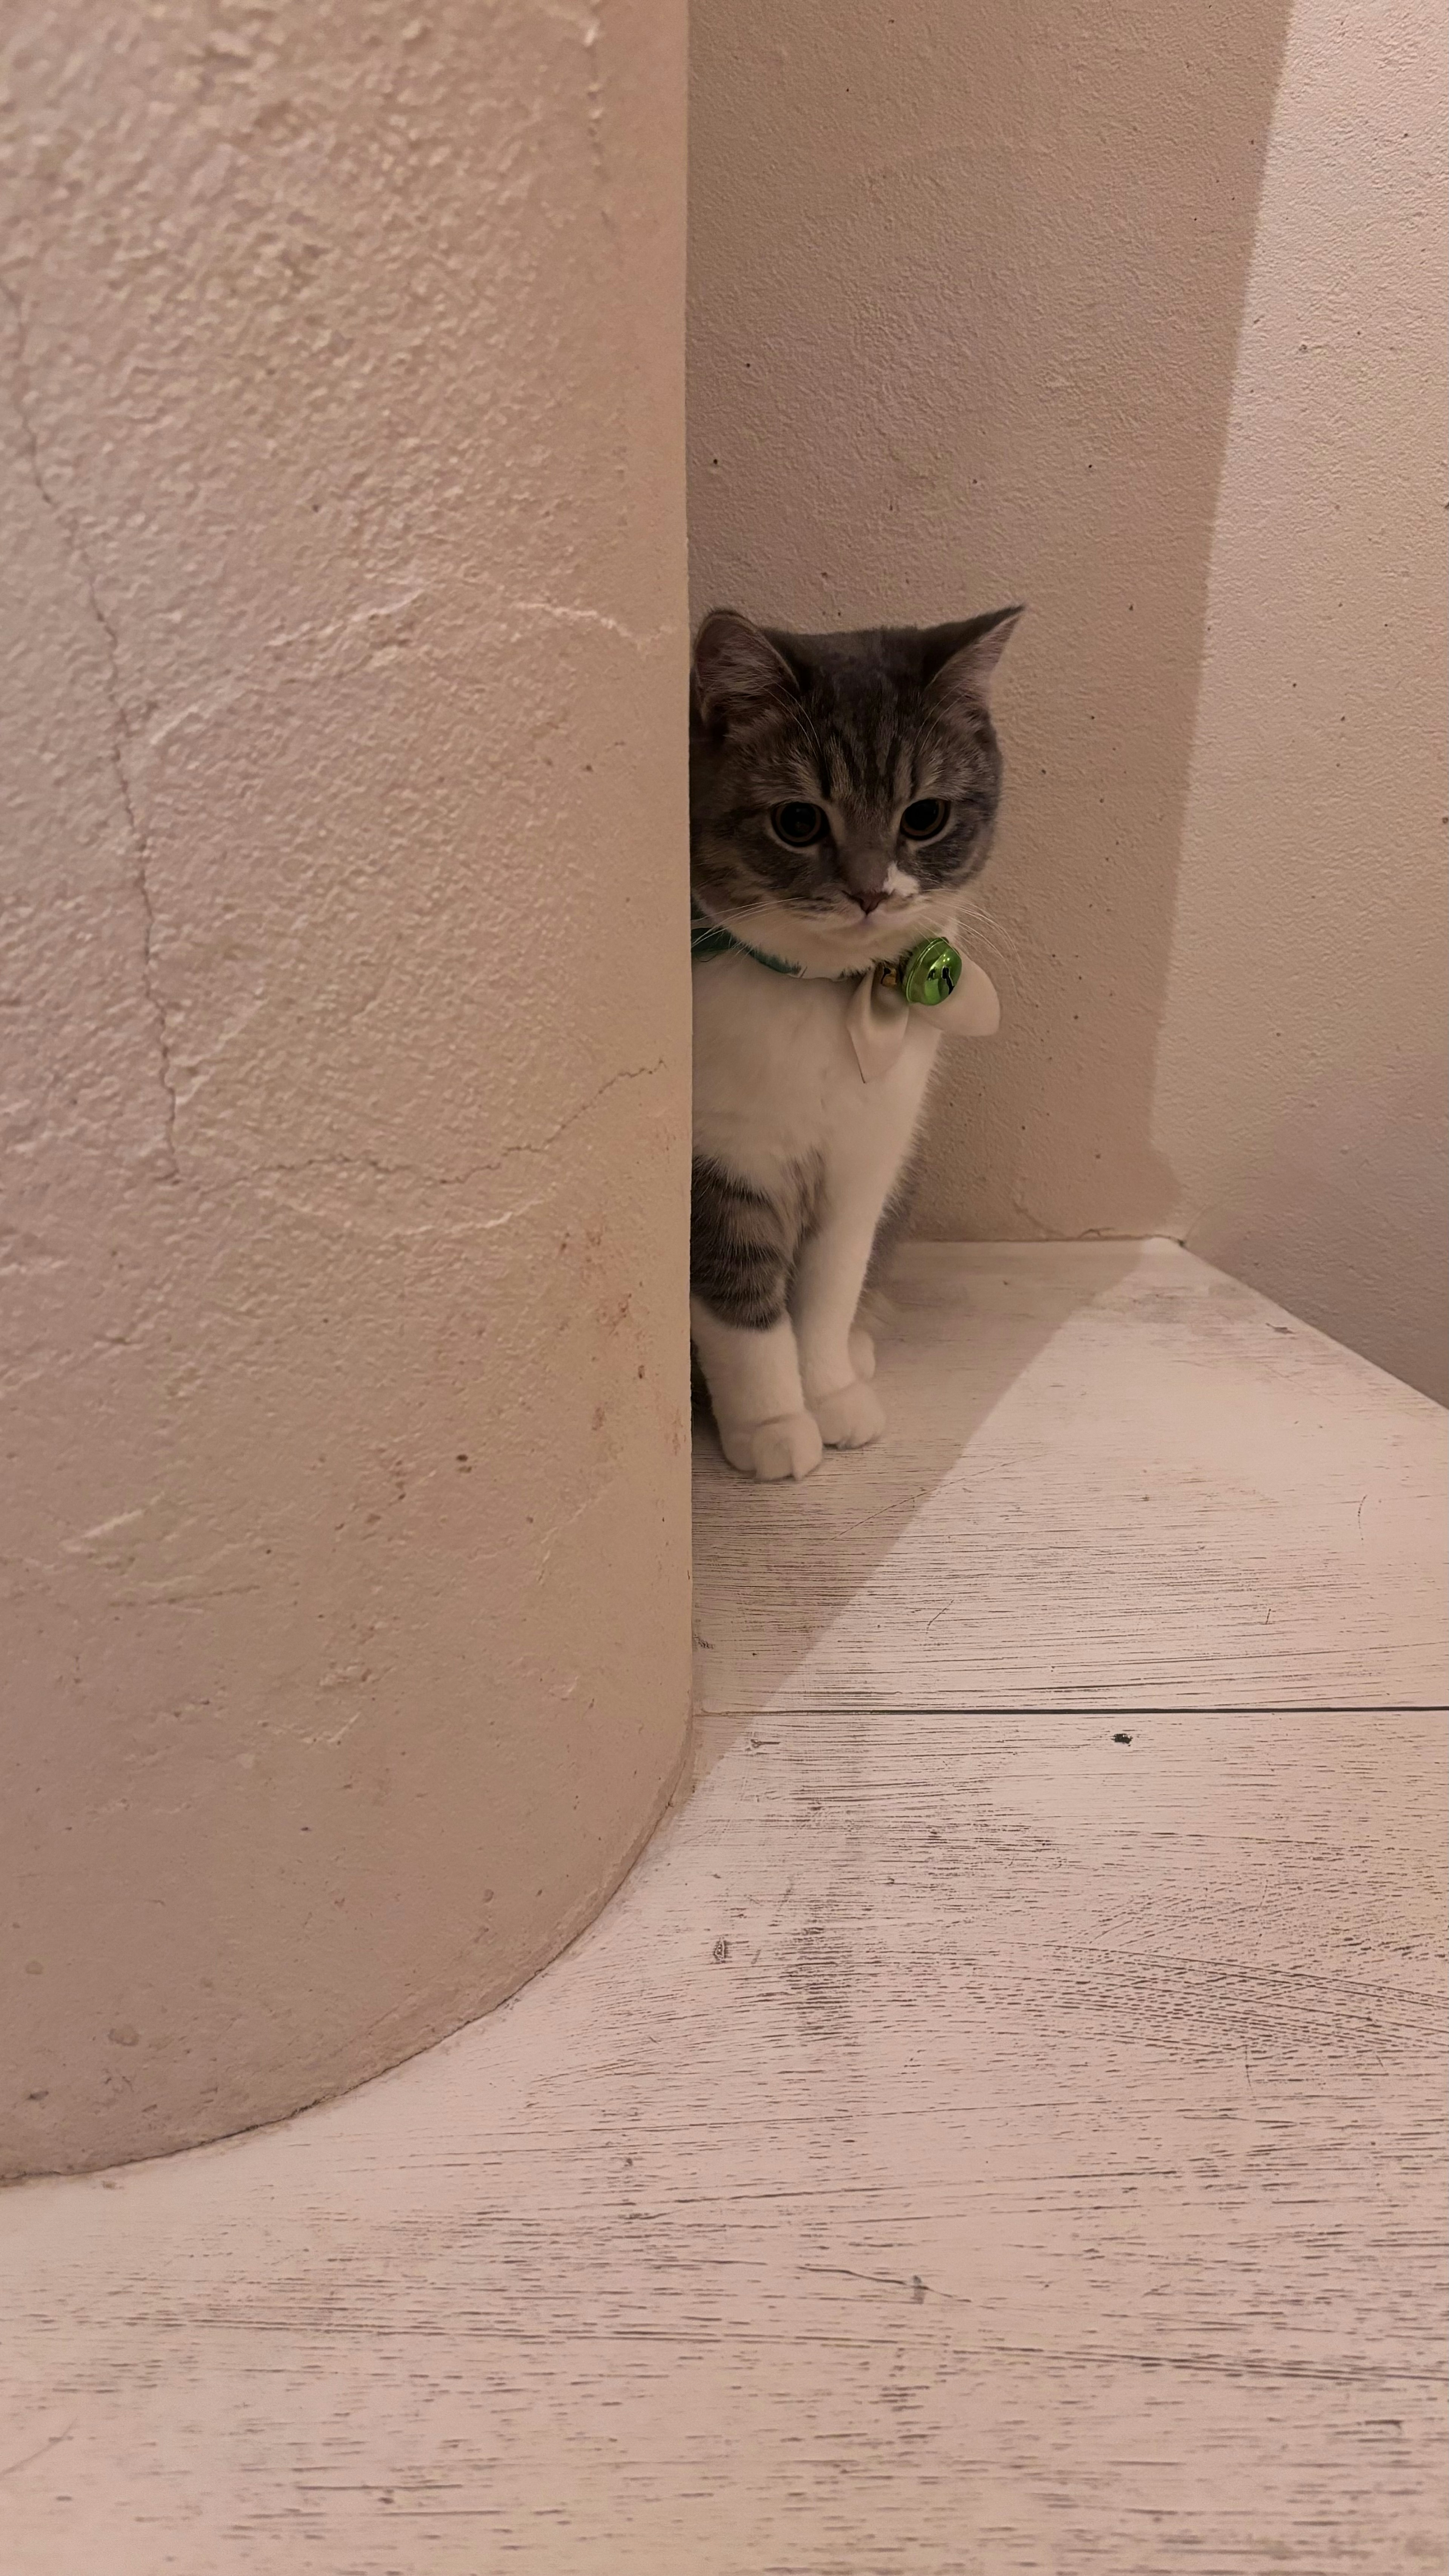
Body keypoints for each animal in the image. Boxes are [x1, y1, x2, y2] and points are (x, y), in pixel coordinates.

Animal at [686, 603, 1016, 1484]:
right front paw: (773, 1424)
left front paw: (829, 1393)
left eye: (923, 816)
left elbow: (829, 1290)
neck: (820, 998)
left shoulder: (867, 1162)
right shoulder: (722, 1165)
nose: (870, 892)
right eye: (798, 820)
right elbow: (743, 1306)